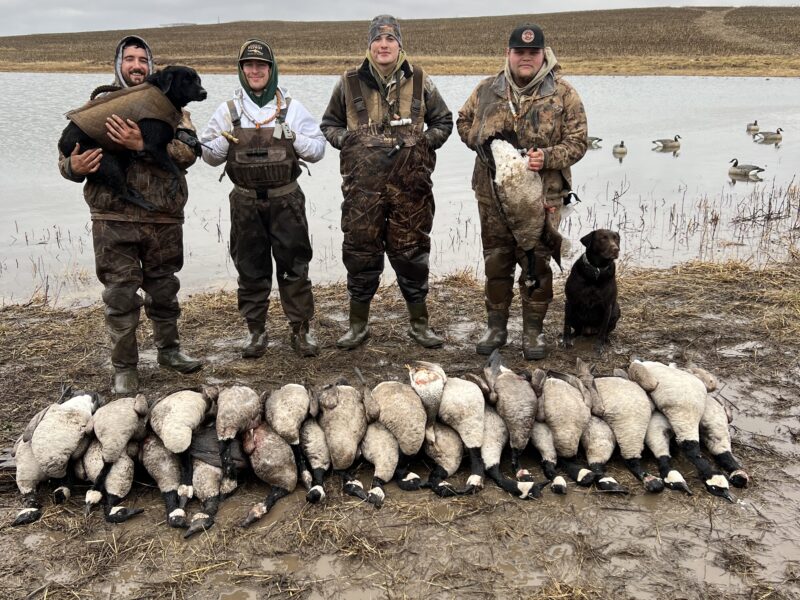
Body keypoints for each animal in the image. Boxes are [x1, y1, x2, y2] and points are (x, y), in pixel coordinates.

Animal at [60, 65, 209, 211]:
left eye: (197, 79)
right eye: (186, 80)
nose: (204, 93)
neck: (164, 95)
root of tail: (62, 142)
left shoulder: (168, 132)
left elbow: (184, 132)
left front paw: (194, 142)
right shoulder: (155, 147)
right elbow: (176, 169)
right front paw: (174, 186)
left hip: (120, 157)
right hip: (105, 160)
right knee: (121, 192)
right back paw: (147, 205)